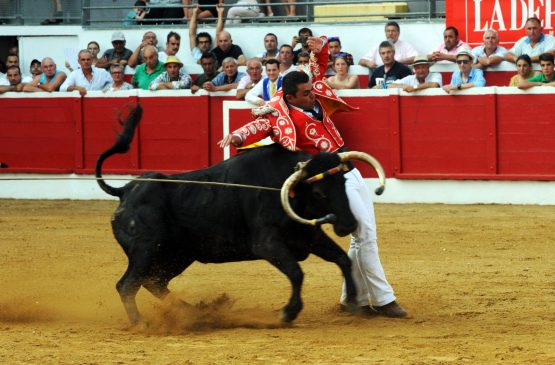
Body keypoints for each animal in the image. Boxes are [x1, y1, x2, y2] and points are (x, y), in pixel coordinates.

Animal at [96, 105, 386, 324]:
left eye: (343, 182)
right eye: (319, 192)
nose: (349, 224)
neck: (283, 187)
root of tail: (124, 191)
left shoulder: (308, 236)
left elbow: (342, 260)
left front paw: (353, 303)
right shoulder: (267, 244)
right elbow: (296, 273)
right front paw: (288, 313)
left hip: (176, 255)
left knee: (154, 283)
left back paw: (193, 311)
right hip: (146, 250)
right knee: (127, 285)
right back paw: (142, 323)